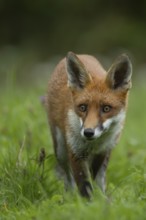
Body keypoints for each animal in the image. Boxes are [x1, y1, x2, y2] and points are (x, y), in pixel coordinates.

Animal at [46, 51, 132, 198]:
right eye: (83, 107)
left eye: (106, 108)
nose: (88, 132)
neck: (93, 144)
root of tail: (82, 54)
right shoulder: (75, 152)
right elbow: (84, 186)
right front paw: (86, 203)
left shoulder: (102, 151)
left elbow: (94, 178)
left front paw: (100, 200)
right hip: (60, 150)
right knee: (68, 177)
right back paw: (70, 196)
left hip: (106, 152)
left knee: (100, 178)